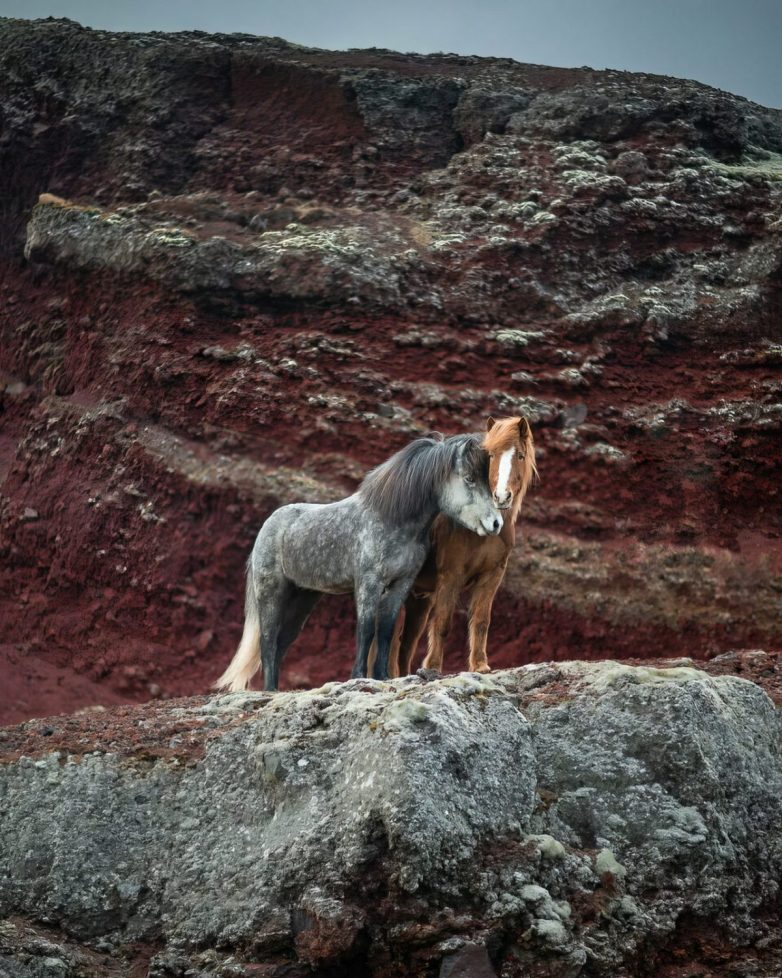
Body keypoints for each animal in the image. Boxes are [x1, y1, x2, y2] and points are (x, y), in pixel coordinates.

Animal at [213, 430, 502, 692]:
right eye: (469, 478)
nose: (496, 523)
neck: (392, 519)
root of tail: (268, 525)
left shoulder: (400, 585)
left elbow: (385, 629)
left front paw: (383, 676)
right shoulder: (368, 583)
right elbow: (366, 629)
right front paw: (358, 676)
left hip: (303, 597)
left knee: (282, 642)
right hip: (272, 593)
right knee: (268, 640)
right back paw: (270, 690)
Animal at [390, 414, 540, 680]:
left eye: (521, 455)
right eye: (491, 455)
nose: (502, 497)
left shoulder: (492, 576)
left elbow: (481, 620)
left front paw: (480, 665)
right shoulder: (451, 575)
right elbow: (443, 623)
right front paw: (432, 667)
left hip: (418, 601)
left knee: (405, 644)